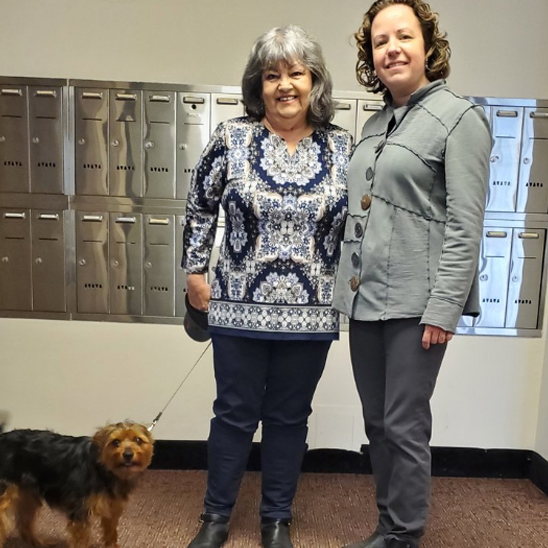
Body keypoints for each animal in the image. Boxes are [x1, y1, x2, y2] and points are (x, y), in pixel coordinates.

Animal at [0, 424, 154, 548]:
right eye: (115, 442)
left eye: (138, 440)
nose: (128, 454)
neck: (104, 467)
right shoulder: (80, 511)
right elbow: (81, 539)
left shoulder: (112, 508)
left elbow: (110, 533)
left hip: (28, 492)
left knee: (23, 521)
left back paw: (38, 541)